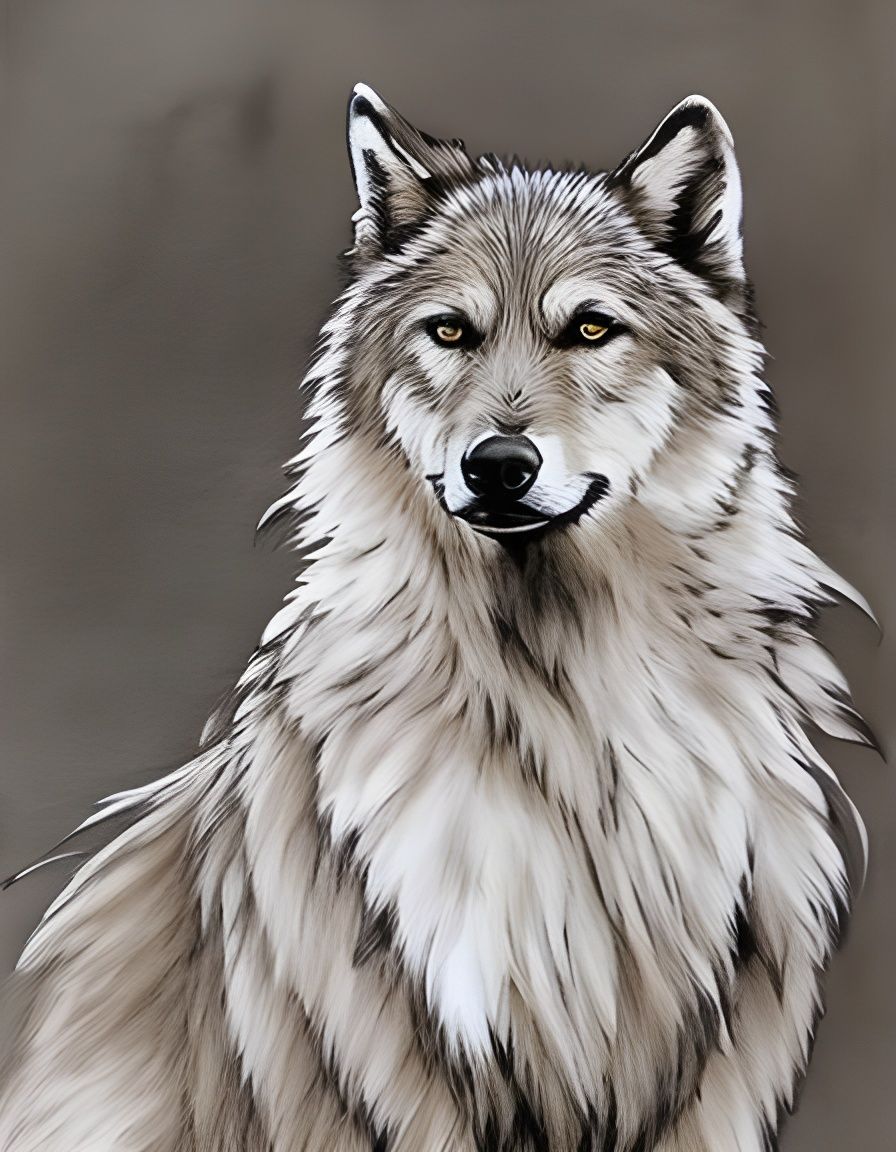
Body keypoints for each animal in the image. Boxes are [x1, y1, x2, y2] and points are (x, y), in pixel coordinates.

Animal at [0, 85, 873, 1151]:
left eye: (591, 330)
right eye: (451, 333)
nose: (498, 464)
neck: (562, 717)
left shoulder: (706, 1068)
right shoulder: (388, 1050)